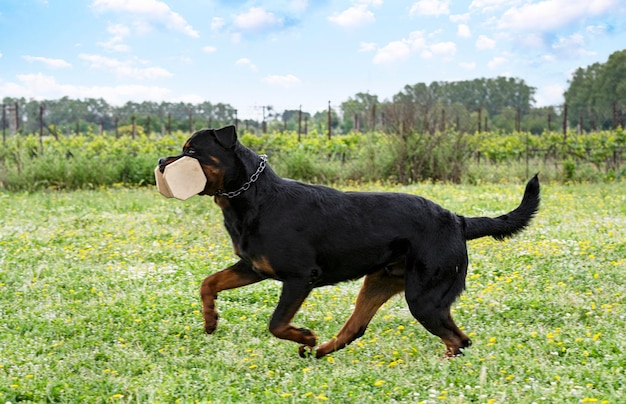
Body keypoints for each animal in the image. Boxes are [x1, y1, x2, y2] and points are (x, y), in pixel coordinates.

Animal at [158, 124, 540, 358]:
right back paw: (320, 351)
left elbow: (276, 323)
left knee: (460, 340)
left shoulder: (299, 277)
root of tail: (457, 220)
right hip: (380, 282)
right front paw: (210, 320)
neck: (252, 198)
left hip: (425, 297)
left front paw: (304, 335)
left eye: (191, 151)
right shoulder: (254, 267)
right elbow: (209, 283)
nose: (161, 160)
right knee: (356, 328)